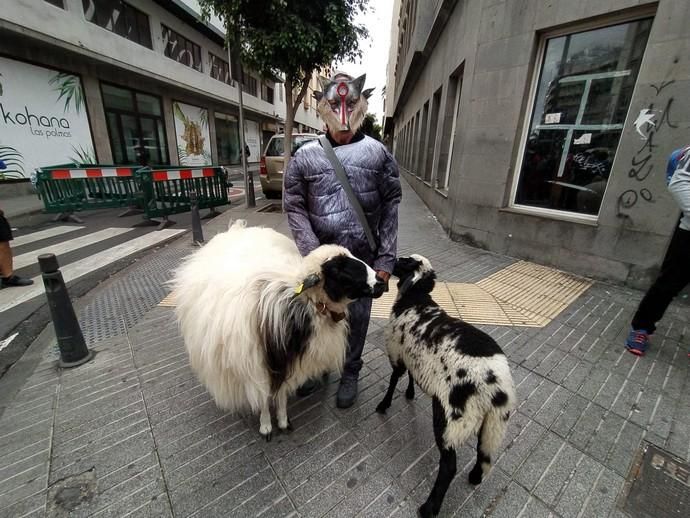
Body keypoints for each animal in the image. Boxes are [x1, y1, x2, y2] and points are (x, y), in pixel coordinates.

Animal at [374, 256, 512, 518]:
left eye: (404, 262)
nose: (390, 260)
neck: (415, 299)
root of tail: (497, 386)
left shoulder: (397, 350)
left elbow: (395, 378)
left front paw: (384, 404)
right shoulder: (413, 355)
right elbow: (410, 376)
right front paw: (410, 393)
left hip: (452, 418)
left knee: (449, 466)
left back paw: (429, 507)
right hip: (493, 423)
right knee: (483, 452)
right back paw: (474, 477)